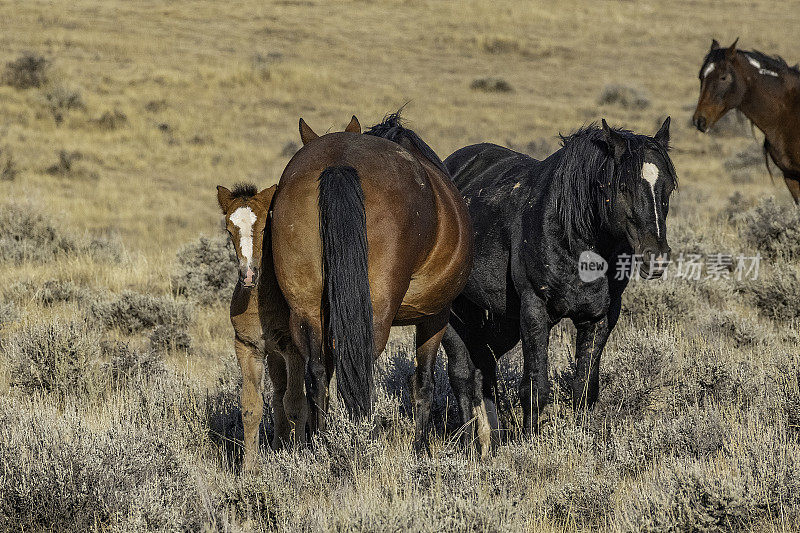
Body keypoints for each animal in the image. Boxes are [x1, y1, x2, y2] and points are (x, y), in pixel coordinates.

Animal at [216, 184, 310, 470]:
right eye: (229, 229)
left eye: (265, 228)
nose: (248, 276)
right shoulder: (248, 348)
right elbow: (251, 406)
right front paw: (249, 468)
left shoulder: (293, 349)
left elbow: (296, 403)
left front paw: (300, 457)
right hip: (274, 355)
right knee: (278, 394)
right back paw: (279, 445)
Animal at [268, 114, 472, 450]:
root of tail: (338, 163)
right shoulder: (435, 315)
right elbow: (424, 382)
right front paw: (419, 447)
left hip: (305, 310)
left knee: (318, 373)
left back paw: (319, 442)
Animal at [440, 118, 680, 450]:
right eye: (623, 187)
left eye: (667, 188)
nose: (655, 258)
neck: (571, 235)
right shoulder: (535, 311)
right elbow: (535, 388)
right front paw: (532, 444)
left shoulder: (600, 318)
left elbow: (584, 389)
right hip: (454, 313)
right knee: (462, 373)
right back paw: (470, 448)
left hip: (501, 321)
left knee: (484, 365)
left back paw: (492, 442)